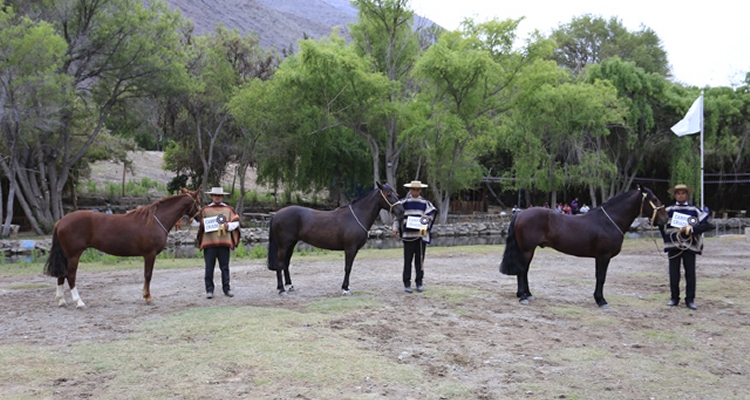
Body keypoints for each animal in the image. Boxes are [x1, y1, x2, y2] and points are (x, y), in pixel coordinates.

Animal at [45, 187, 201, 306]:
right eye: (198, 202)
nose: (200, 218)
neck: (155, 221)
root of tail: (61, 221)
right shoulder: (149, 254)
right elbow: (148, 275)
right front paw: (148, 297)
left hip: (66, 255)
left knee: (61, 274)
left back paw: (61, 300)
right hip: (73, 255)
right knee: (70, 275)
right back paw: (79, 302)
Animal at [268, 183, 406, 296]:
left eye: (396, 193)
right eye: (388, 194)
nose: (401, 211)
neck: (357, 216)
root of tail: (276, 215)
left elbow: (349, 267)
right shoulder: (350, 248)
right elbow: (348, 268)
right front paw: (345, 289)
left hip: (291, 244)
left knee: (286, 264)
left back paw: (289, 286)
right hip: (283, 246)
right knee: (280, 265)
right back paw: (282, 289)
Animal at [500, 186, 668, 308]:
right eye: (654, 199)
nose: (665, 219)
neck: (609, 221)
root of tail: (520, 214)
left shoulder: (600, 257)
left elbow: (599, 277)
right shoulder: (604, 256)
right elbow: (601, 277)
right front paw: (601, 300)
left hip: (529, 250)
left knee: (525, 271)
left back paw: (527, 294)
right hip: (526, 250)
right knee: (522, 271)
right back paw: (522, 296)